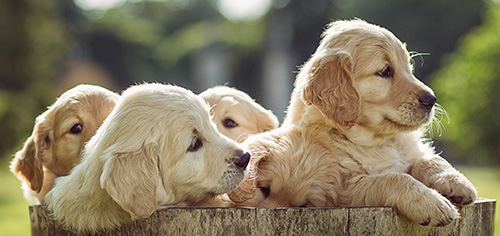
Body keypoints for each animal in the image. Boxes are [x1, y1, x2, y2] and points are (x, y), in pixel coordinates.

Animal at [232, 18, 474, 227]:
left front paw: (456, 181)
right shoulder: (343, 188)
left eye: (409, 68)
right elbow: (393, 178)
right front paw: (433, 203)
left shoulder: (407, 153)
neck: (377, 141)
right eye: (385, 71)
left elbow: (428, 160)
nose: (431, 100)